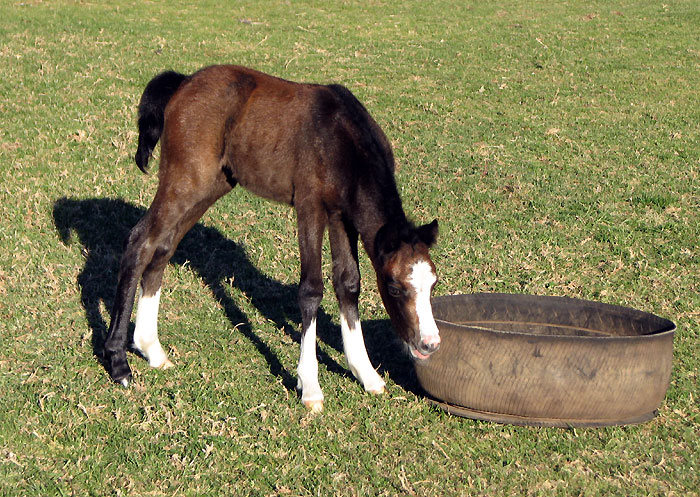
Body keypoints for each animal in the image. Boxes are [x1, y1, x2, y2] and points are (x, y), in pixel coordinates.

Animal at [103, 65, 440, 411]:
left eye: (433, 284)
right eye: (394, 288)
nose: (429, 344)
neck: (342, 138)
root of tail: (184, 82)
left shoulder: (341, 215)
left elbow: (348, 282)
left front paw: (366, 373)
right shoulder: (310, 206)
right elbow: (311, 290)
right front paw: (310, 386)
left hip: (208, 186)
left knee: (162, 248)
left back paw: (151, 349)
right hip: (184, 179)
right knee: (139, 242)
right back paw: (118, 362)